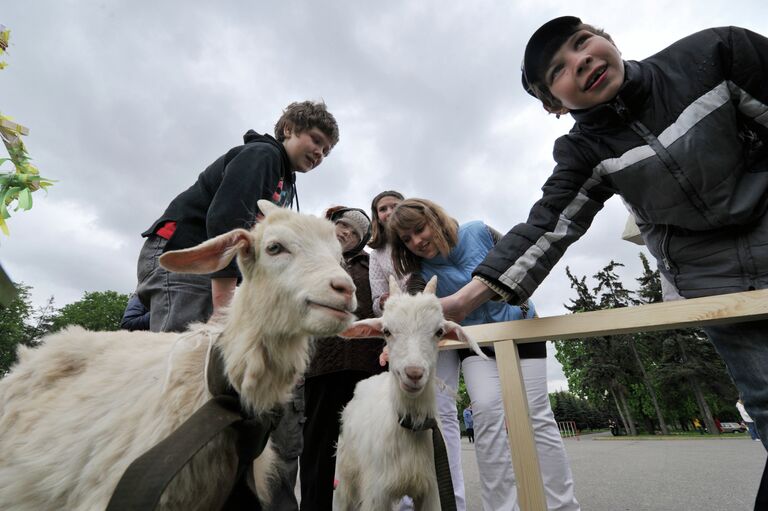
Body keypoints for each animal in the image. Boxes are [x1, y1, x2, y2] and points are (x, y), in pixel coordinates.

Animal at [332, 276, 486, 511]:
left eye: (439, 332)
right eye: (386, 331)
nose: (414, 373)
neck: (410, 427)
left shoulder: (432, 490)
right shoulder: (376, 493)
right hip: (345, 474)